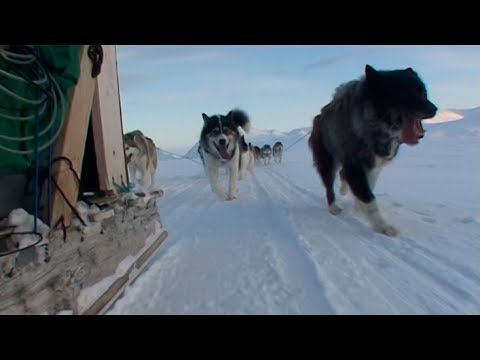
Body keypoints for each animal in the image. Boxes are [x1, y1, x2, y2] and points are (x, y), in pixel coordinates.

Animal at [308, 64, 438, 236]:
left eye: (423, 92)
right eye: (405, 93)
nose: (434, 109)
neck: (374, 125)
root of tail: (318, 118)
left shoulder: (373, 167)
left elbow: (367, 189)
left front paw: (359, 207)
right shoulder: (355, 166)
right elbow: (369, 198)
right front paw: (383, 226)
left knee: (342, 174)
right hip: (327, 161)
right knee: (329, 186)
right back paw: (333, 207)